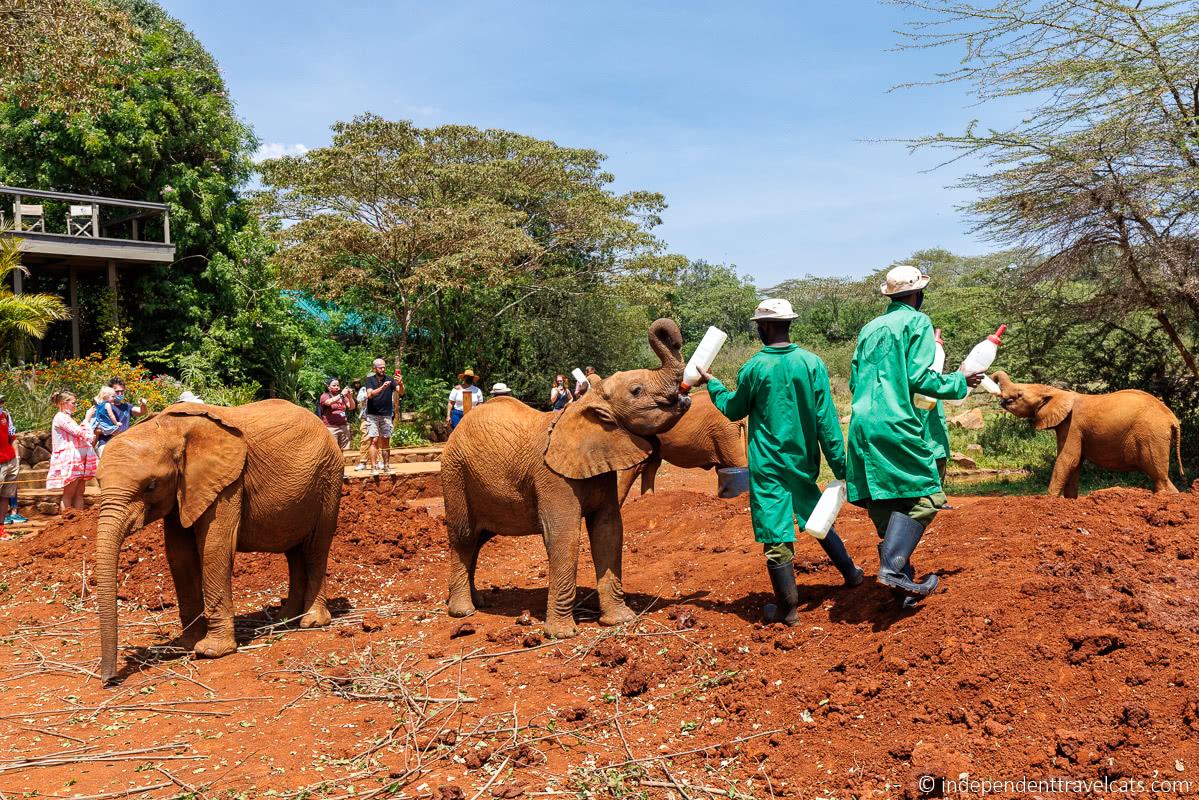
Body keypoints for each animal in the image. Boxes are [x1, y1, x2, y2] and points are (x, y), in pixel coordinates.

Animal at [987, 371, 1184, 496]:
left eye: (1020, 394)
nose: (988, 378)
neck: (1055, 391)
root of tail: (1172, 419)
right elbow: (1074, 464)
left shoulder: (1072, 425)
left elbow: (1068, 459)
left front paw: (1048, 501)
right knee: (1161, 476)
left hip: (1152, 436)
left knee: (1158, 475)